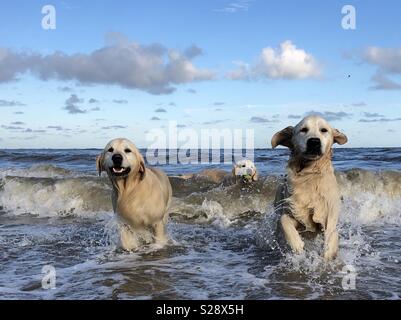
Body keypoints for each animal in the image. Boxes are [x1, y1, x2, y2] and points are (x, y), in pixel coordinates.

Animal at [272, 116, 346, 262]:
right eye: (303, 130)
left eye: (324, 130)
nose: (314, 142)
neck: (310, 174)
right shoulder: (295, 211)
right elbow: (284, 220)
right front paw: (296, 245)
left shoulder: (328, 216)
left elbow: (331, 236)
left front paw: (327, 257)